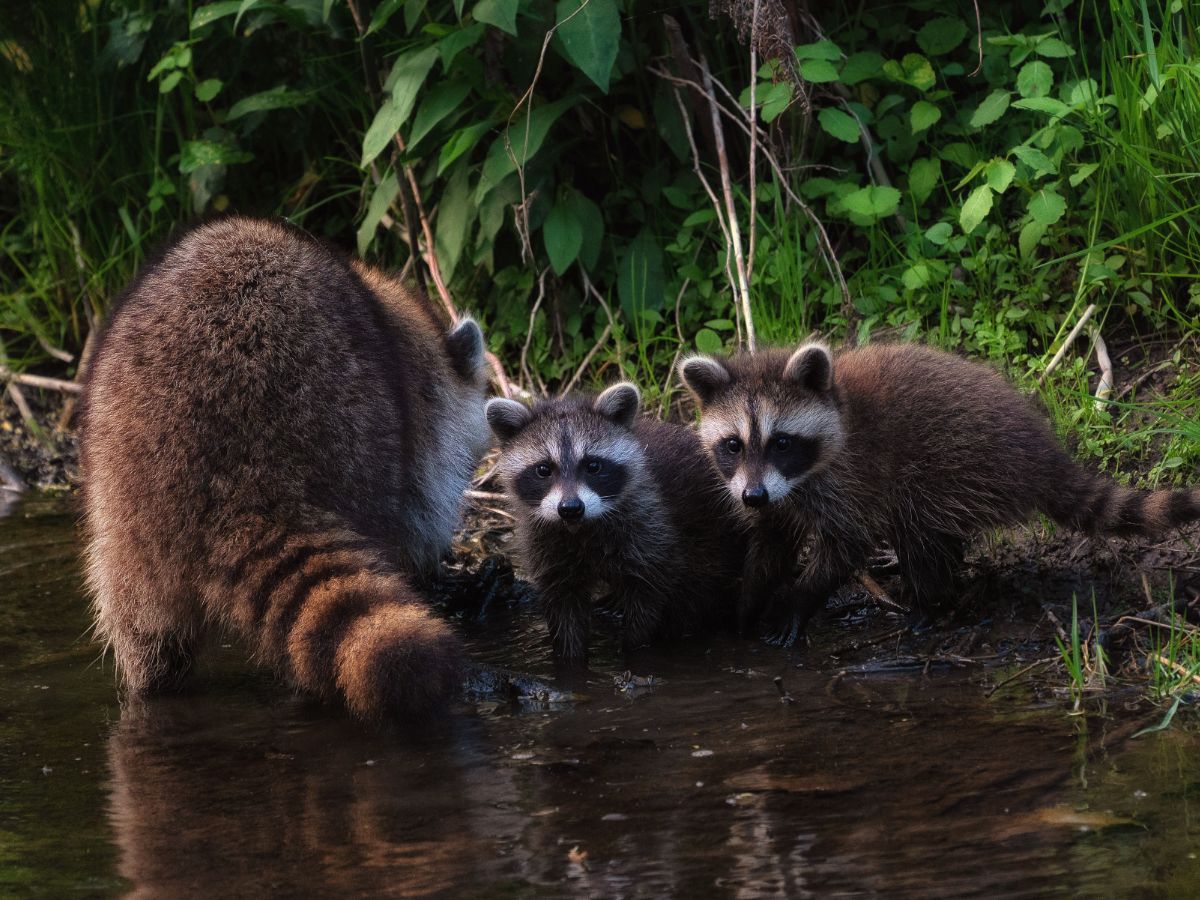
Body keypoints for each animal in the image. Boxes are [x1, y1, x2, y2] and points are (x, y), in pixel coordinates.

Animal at [82, 217, 489, 720]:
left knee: (143, 637)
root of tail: (235, 483)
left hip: (120, 513)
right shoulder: (416, 417)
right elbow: (423, 505)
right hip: (357, 435)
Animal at [482, 386, 744, 662]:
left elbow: (647, 601)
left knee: (694, 593)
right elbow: (564, 610)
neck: (581, 527)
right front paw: (570, 660)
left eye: (593, 465)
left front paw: (635, 649)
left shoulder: (650, 527)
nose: (570, 508)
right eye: (543, 469)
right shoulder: (547, 546)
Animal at [681, 340, 1200, 643]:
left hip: (956, 466)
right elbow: (770, 544)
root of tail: (1040, 451)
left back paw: (932, 602)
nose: (753, 497)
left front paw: (801, 600)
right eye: (733, 444)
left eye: (782, 442)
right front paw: (750, 602)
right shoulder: (769, 492)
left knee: (919, 530)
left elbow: (846, 545)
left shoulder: (852, 480)